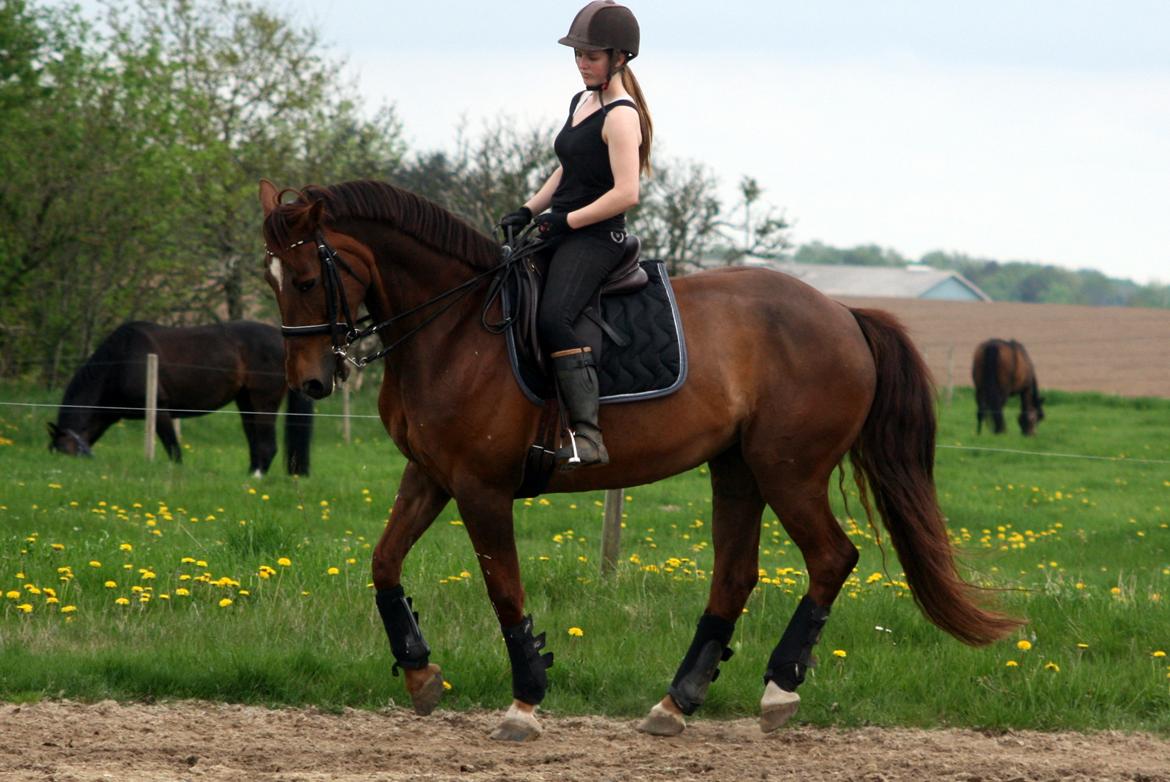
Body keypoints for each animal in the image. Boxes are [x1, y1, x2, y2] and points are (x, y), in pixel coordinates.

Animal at [47, 318, 313, 477]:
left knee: (267, 445)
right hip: (245, 401)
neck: (120, 362)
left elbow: (173, 450)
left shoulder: (160, 411)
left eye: (65, 452)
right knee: (256, 443)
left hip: (263, 401)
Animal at [260, 180, 1020, 744]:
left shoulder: (481, 489)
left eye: (304, 277)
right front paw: (420, 674)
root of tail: (842, 312)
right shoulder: (430, 476)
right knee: (735, 575)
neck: (454, 329)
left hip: (788, 470)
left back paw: (778, 689)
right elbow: (384, 562)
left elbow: (504, 590)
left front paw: (525, 700)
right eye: (272, 281)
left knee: (832, 558)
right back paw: (675, 702)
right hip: (738, 469)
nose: (310, 383)